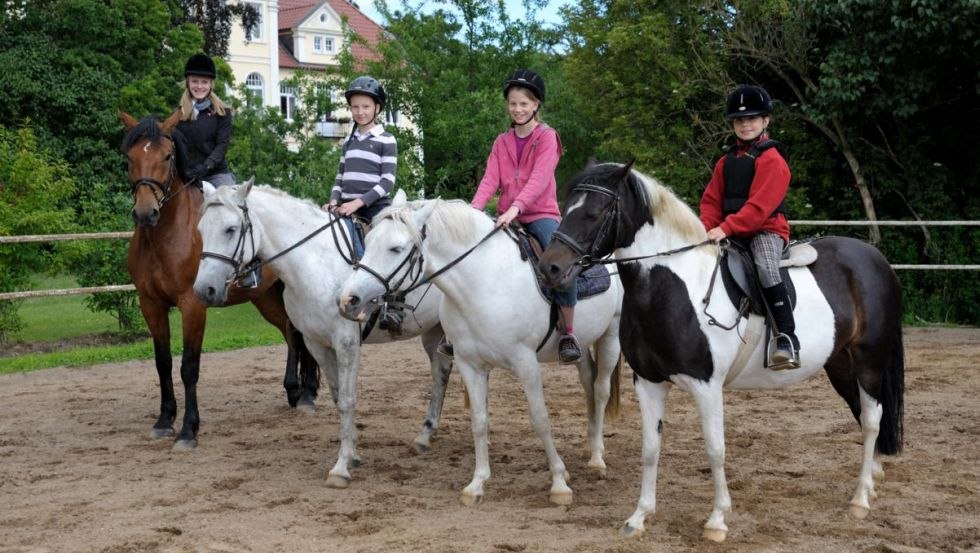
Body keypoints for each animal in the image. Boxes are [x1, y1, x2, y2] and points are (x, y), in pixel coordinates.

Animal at [118, 111, 318, 448]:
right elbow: (162, 363)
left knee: (299, 332)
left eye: (167, 155)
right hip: (265, 298)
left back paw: (307, 393)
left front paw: (188, 429)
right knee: (291, 332)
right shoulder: (151, 304)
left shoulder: (192, 305)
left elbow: (188, 367)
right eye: (129, 157)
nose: (146, 213)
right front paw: (164, 421)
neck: (165, 237)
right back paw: (295, 389)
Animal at [193, 179, 458, 486]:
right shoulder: (316, 343)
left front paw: (341, 467)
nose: (204, 290)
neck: (314, 263)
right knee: (441, 372)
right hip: (432, 331)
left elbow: (347, 400)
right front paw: (352, 454)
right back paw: (425, 435)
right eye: (201, 230)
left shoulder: (346, 343)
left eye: (230, 229)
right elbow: (336, 397)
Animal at [340, 195, 624, 504]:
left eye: (396, 248)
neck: (484, 281)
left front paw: (559, 483)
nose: (349, 299)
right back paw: (590, 444)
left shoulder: (526, 363)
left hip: (610, 336)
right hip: (582, 345)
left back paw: (597, 458)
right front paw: (477, 484)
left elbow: (540, 419)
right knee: (588, 384)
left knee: (600, 390)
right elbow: (479, 420)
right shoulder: (469, 364)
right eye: (368, 241)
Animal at [536, 160, 904, 540]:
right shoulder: (649, 383)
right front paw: (639, 516)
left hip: (869, 361)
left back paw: (860, 499)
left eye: (594, 213)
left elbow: (715, 450)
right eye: (565, 208)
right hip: (841, 366)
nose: (549, 268)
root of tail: (875, 258)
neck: (674, 289)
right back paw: (872, 481)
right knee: (862, 414)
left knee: (872, 420)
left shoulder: (706, 386)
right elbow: (650, 449)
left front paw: (717, 520)